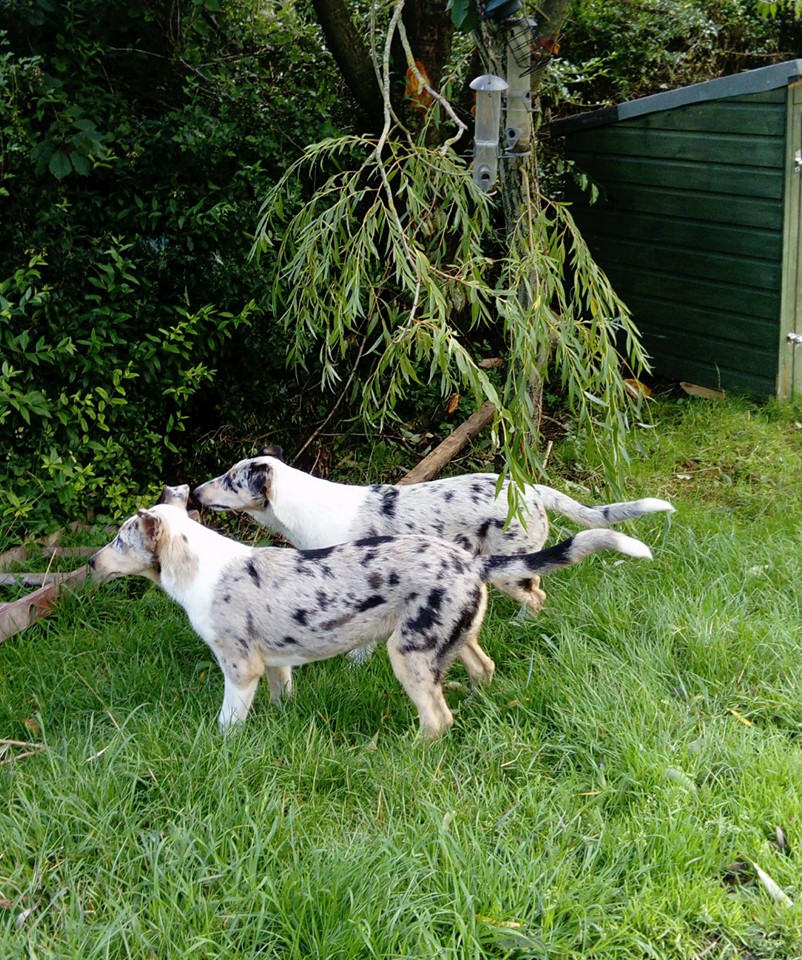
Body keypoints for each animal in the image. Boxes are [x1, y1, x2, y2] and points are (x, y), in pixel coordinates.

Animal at [94, 484, 652, 740]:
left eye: (119, 538)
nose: (92, 563)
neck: (198, 567)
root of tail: (471, 560)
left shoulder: (239, 665)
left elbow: (228, 720)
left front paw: (220, 746)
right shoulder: (274, 662)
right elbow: (282, 694)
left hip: (408, 651)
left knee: (437, 718)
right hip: (454, 637)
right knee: (484, 668)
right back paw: (477, 699)